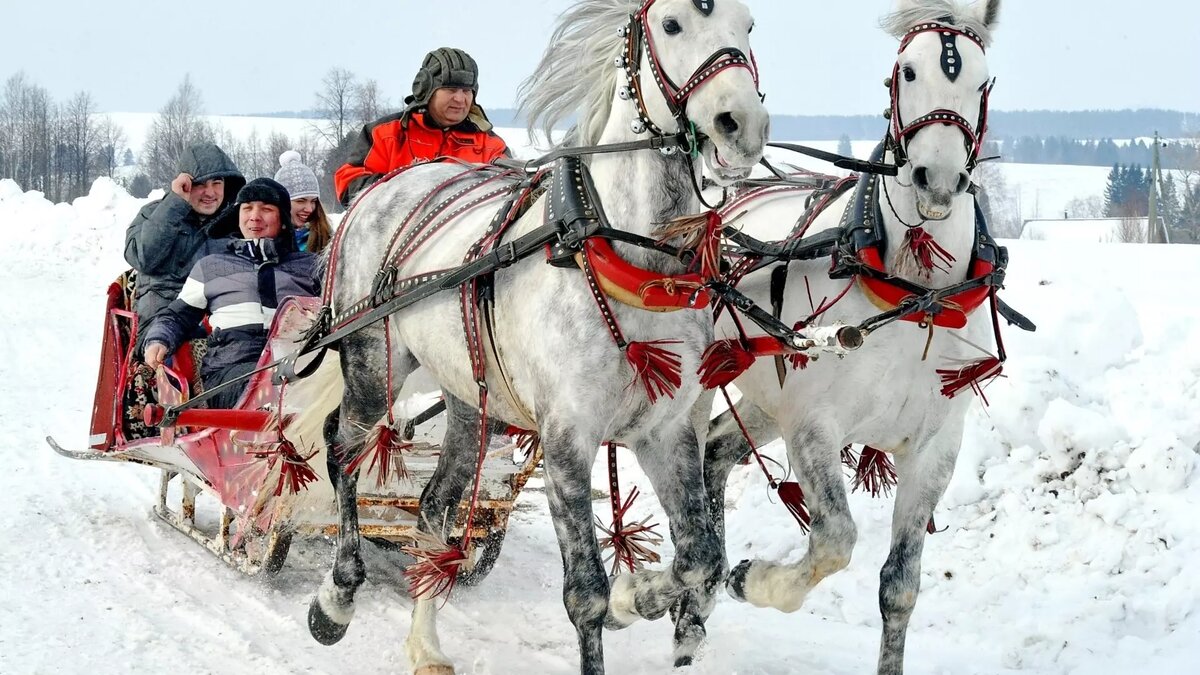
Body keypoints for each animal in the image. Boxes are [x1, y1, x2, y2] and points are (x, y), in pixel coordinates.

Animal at [295, 1, 772, 672]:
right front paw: (616, 603)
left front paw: (636, 598)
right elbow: (585, 596)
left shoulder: (666, 431)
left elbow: (701, 559)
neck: (628, 257)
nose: (742, 124)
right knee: (344, 451)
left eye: (749, 25)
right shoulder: (567, 438)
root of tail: (382, 191)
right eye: (672, 24)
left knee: (435, 504)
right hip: (372, 360)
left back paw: (425, 640)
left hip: (469, 394)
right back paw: (336, 596)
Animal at [676, 2, 1003, 667]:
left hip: (767, 388)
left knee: (718, 449)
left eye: (982, 80)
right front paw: (753, 579)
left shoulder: (935, 445)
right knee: (693, 460)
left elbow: (900, 586)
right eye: (906, 70)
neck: (913, 294)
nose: (937, 179)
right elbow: (834, 540)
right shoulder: (815, 426)